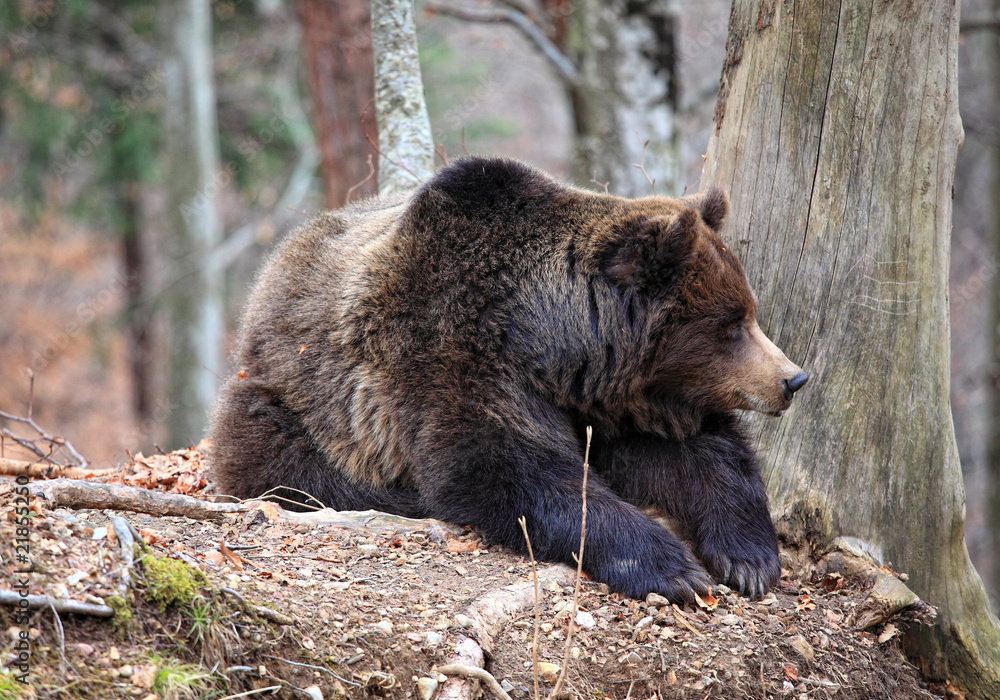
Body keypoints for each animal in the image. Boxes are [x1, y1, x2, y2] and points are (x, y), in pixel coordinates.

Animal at [210, 156, 808, 602]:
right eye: (732, 324)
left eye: (747, 311)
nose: (792, 379)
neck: (550, 342)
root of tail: (273, 270)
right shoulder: (455, 355)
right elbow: (509, 471)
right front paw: (673, 568)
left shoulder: (615, 400)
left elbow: (698, 452)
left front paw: (748, 558)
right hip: (295, 397)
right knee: (286, 462)